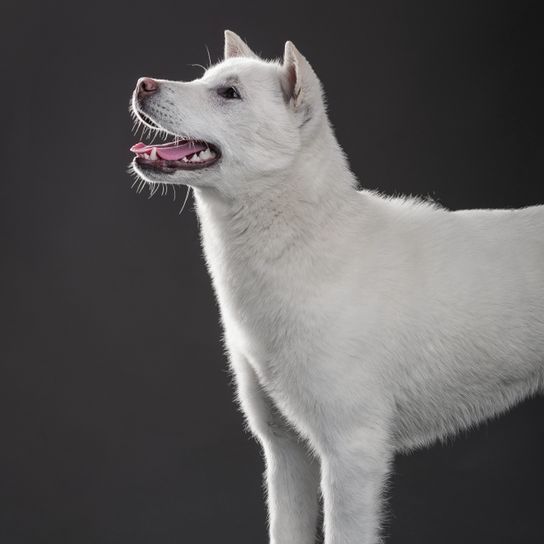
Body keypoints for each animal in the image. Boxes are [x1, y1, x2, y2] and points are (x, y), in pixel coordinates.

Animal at [130, 30, 540, 544]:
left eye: (229, 93)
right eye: (205, 80)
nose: (142, 84)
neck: (304, 246)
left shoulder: (351, 454)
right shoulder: (285, 453)